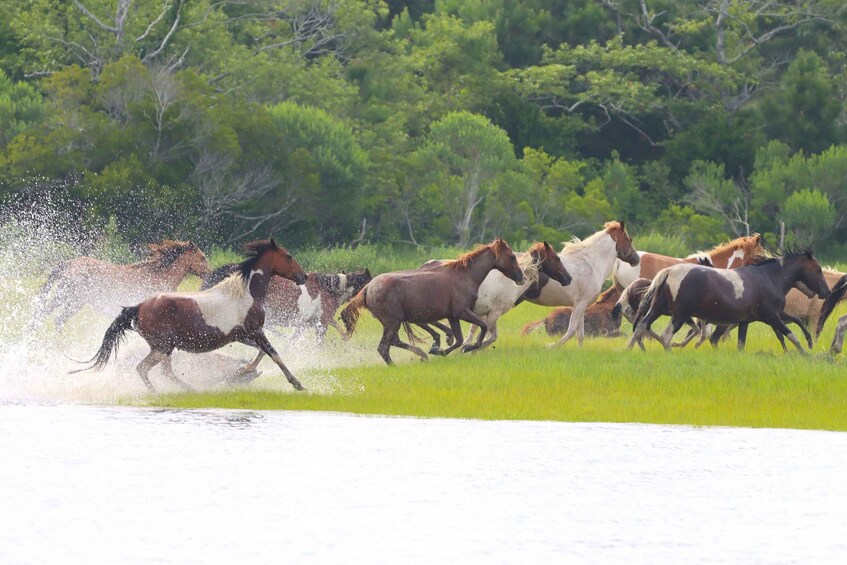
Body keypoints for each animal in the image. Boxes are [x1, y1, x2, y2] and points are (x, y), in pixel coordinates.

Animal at [29, 240, 211, 332]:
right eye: (202, 257)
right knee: (53, 318)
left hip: (67, 300)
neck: (157, 276)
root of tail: (69, 264)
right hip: (70, 300)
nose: (211, 273)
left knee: (44, 315)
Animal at [73, 239, 308, 393]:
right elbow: (274, 354)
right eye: (289, 256)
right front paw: (297, 384)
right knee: (145, 369)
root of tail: (138, 307)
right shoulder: (256, 331)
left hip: (164, 348)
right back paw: (168, 393)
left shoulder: (244, 335)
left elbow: (261, 353)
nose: (304, 276)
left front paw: (243, 370)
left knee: (163, 372)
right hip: (162, 347)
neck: (245, 292)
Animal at [340, 238, 525, 364]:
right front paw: (467, 347)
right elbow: (482, 327)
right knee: (384, 347)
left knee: (393, 342)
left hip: (392, 323)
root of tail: (368, 288)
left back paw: (422, 354)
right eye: (512, 257)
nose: (522, 278)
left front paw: (440, 350)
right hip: (392, 322)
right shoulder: (462, 312)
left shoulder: (453, 316)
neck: (464, 277)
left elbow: (458, 338)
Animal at [628, 250, 829, 353]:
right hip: (679, 314)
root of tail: (668, 271)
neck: (769, 278)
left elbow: (741, 344)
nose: (826, 292)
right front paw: (805, 353)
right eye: (818, 269)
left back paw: (628, 349)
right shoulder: (771, 316)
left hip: (658, 309)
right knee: (666, 335)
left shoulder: (747, 320)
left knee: (642, 325)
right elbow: (790, 334)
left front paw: (809, 343)